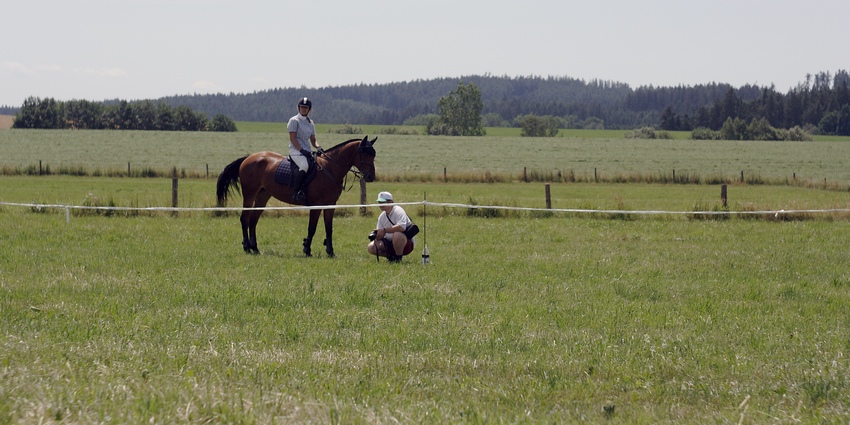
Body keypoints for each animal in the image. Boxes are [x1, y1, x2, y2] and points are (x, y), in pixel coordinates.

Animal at [217, 135, 376, 255]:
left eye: (373, 155)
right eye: (365, 154)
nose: (371, 177)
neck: (329, 169)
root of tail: (248, 158)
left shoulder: (330, 205)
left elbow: (329, 228)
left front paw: (330, 251)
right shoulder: (317, 205)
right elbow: (312, 228)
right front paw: (307, 249)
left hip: (263, 196)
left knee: (253, 220)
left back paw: (254, 248)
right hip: (250, 194)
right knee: (245, 219)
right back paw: (246, 247)